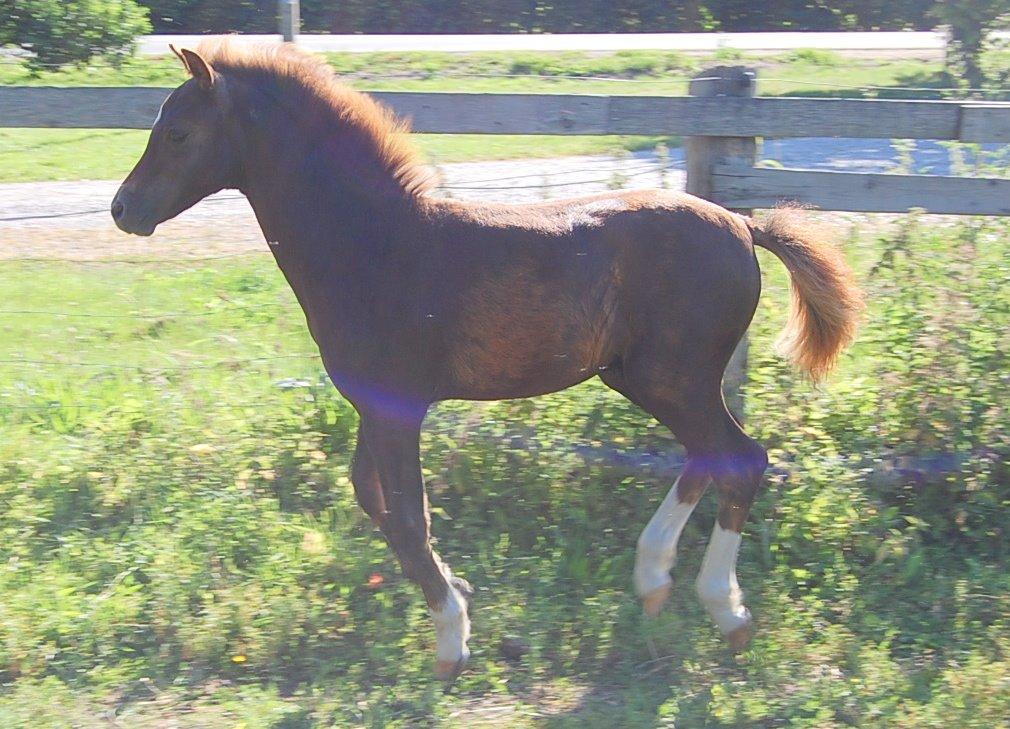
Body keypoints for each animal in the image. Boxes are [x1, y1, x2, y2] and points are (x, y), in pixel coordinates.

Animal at [111, 39, 863, 681]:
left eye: (177, 133)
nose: (123, 210)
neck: (370, 242)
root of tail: (744, 224)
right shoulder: (373, 403)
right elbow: (375, 499)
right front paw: (458, 589)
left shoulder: (397, 406)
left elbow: (407, 513)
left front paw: (451, 639)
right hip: (651, 378)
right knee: (709, 455)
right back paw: (654, 579)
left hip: (672, 377)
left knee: (740, 458)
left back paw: (724, 609)